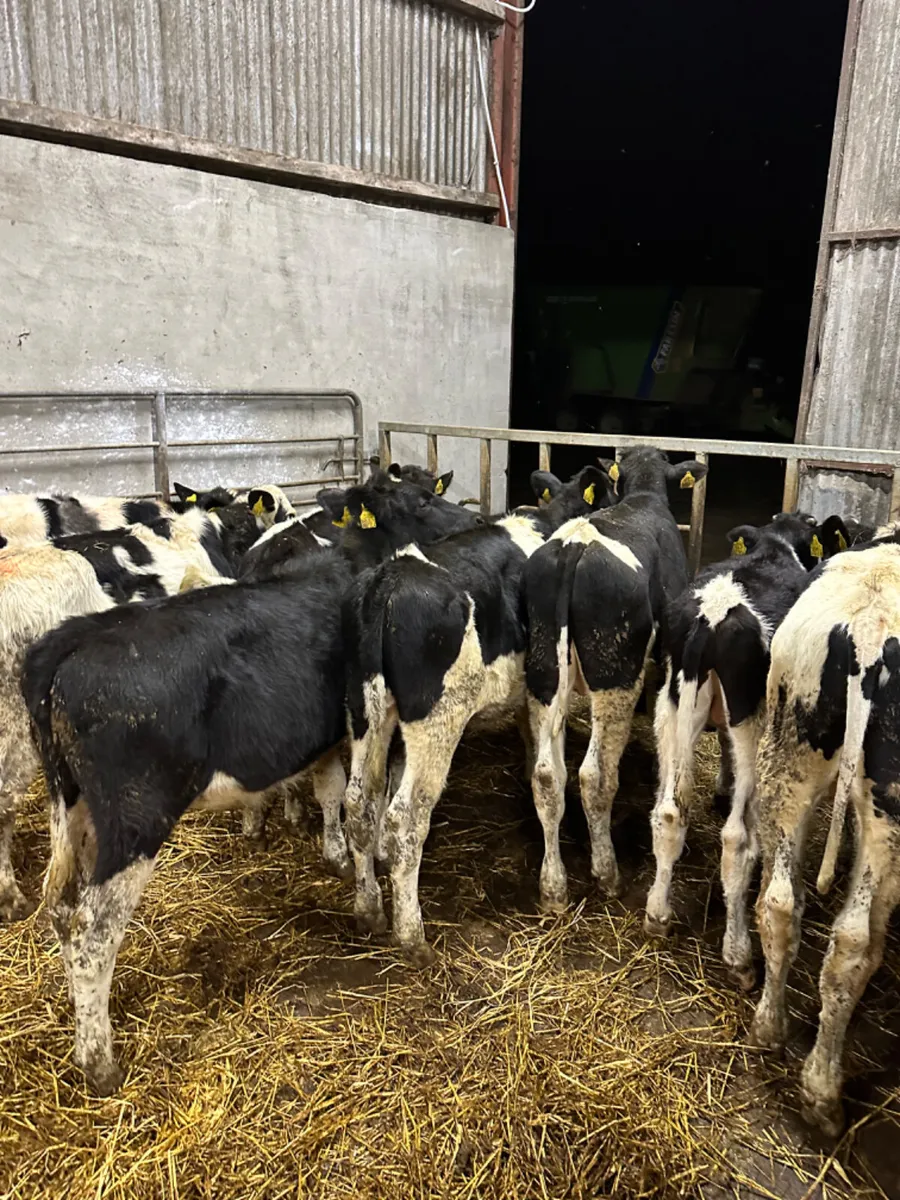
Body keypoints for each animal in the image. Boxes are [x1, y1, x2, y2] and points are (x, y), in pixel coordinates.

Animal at [20, 477, 480, 1092]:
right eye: (422, 500)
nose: (468, 519)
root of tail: (67, 644)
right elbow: (355, 799)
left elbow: (338, 792)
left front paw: (332, 854)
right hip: (135, 818)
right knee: (93, 932)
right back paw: (100, 1062)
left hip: (70, 809)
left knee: (60, 907)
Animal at [341, 465, 617, 963]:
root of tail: (387, 580)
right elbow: (546, 764)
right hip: (438, 721)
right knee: (405, 817)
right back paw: (411, 936)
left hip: (364, 712)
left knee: (359, 804)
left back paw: (369, 909)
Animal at [523, 447, 709, 916]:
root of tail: (574, 547)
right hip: (616, 676)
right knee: (595, 776)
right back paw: (607, 874)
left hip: (542, 671)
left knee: (547, 777)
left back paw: (553, 888)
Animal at [643, 512, 849, 988]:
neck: (775, 544)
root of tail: (714, 611)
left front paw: (721, 787)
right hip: (753, 722)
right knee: (736, 840)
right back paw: (738, 955)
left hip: (672, 704)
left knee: (669, 812)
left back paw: (657, 915)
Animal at [747, 539, 900, 1135]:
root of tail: (868, 632)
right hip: (891, 808)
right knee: (852, 945)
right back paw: (822, 1091)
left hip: (787, 754)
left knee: (778, 903)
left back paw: (769, 1026)